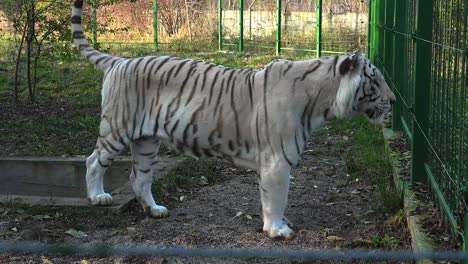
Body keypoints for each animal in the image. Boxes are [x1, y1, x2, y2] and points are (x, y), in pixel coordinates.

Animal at [72, 0, 394, 239]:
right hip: (117, 129)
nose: (393, 100)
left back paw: (155, 210)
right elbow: (278, 197)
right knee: (93, 161)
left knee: (139, 178)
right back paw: (98, 196)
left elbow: (268, 198)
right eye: (375, 80)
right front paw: (278, 230)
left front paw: (274, 226)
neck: (321, 101)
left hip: (146, 142)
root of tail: (119, 61)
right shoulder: (278, 160)